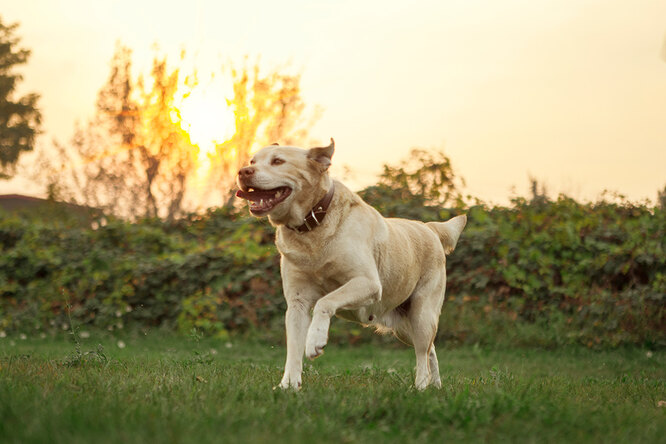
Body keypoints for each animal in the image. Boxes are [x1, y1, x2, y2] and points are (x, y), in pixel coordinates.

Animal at [236, 139, 464, 388]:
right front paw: (288, 386)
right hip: (404, 328)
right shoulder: (297, 303)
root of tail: (429, 228)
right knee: (431, 350)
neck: (313, 227)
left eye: (278, 161)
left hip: (422, 316)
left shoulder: (368, 283)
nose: (243, 172)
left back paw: (421, 386)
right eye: (252, 161)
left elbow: (325, 301)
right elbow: (293, 350)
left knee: (423, 353)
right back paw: (436, 385)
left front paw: (315, 340)